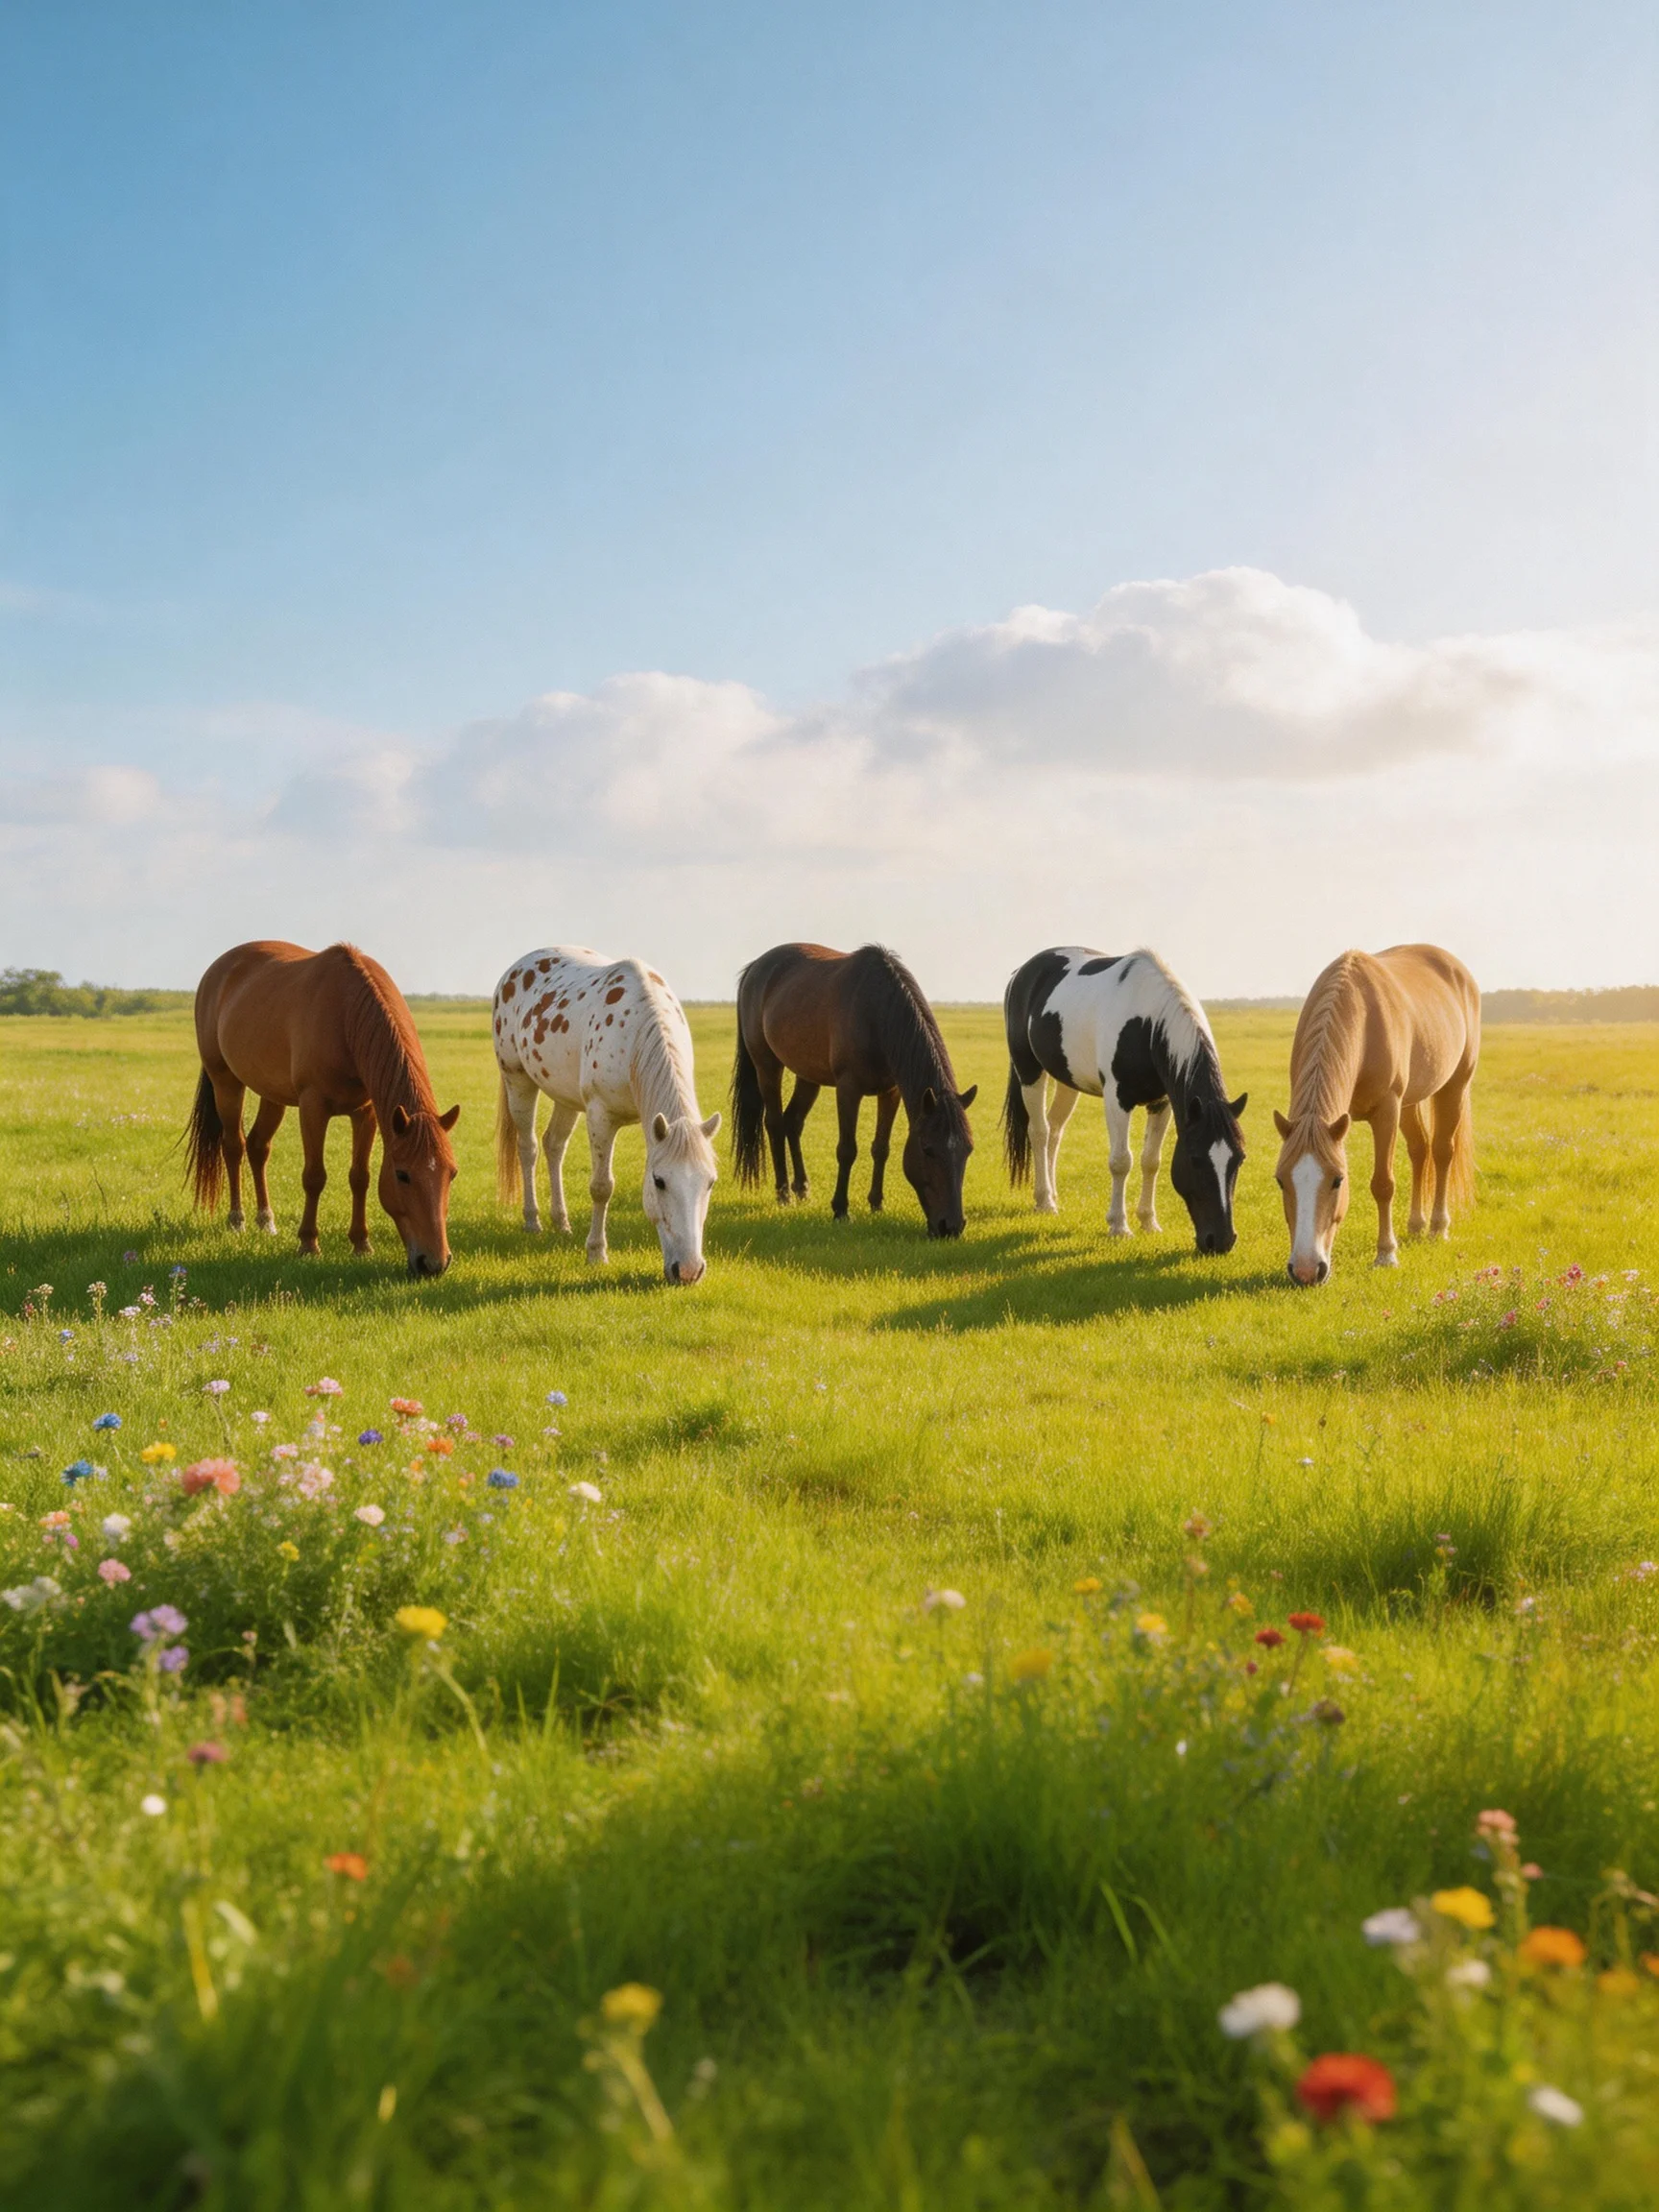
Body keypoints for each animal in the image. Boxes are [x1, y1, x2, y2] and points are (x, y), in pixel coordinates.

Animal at [184, 941, 460, 1276]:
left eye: (452, 1173)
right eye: (402, 1175)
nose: (434, 1263)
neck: (346, 1014)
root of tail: (218, 968)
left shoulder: (365, 1112)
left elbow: (360, 1177)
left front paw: (361, 1244)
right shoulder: (312, 1107)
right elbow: (314, 1176)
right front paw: (308, 1243)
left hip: (271, 1094)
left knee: (258, 1147)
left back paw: (266, 1220)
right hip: (226, 1082)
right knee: (233, 1146)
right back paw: (237, 1220)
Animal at [493, 946, 721, 1284]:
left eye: (710, 1182)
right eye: (659, 1181)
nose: (689, 1271)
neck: (635, 1033)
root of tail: (516, 968)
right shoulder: (601, 1116)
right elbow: (601, 1187)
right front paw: (596, 1252)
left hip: (566, 1096)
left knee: (553, 1145)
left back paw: (561, 1221)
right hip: (517, 1080)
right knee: (528, 1148)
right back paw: (532, 1220)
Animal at [730, 942, 977, 1237]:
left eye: (968, 1149)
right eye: (928, 1149)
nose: (951, 1226)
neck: (876, 1013)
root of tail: (755, 967)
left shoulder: (891, 1092)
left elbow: (881, 1148)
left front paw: (876, 1204)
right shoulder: (848, 1089)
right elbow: (847, 1149)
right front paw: (840, 1210)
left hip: (807, 1075)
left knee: (793, 1122)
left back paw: (801, 1188)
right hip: (767, 1065)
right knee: (775, 1124)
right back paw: (783, 1194)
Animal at [1001, 946, 1247, 1253]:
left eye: (1239, 1159)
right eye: (1195, 1159)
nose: (1221, 1241)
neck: (1147, 1025)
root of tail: (1021, 972)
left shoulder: (1162, 1103)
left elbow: (1151, 1160)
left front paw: (1148, 1221)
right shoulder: (1117, 1100)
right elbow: (1121, 1161)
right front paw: (1119, 1226)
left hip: (1067, 1080)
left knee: (1055, 1131)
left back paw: (1054, 1197)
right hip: (1029, 1070)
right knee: (1040, 1132)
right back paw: (1044, 1201)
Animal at [1272, 944, 1479, 1286]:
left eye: (1338, 1180)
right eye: (1280, 1180)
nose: (1305, 1271)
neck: (1361, 1018)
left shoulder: (1387, 1110)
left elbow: (1383, 1184)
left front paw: (1386, 1254)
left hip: (1454, 1086)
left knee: (1441, 1151)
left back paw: (1438, 1227)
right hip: (1411, 1102)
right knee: (1420, 1150)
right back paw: (1416, 1224)